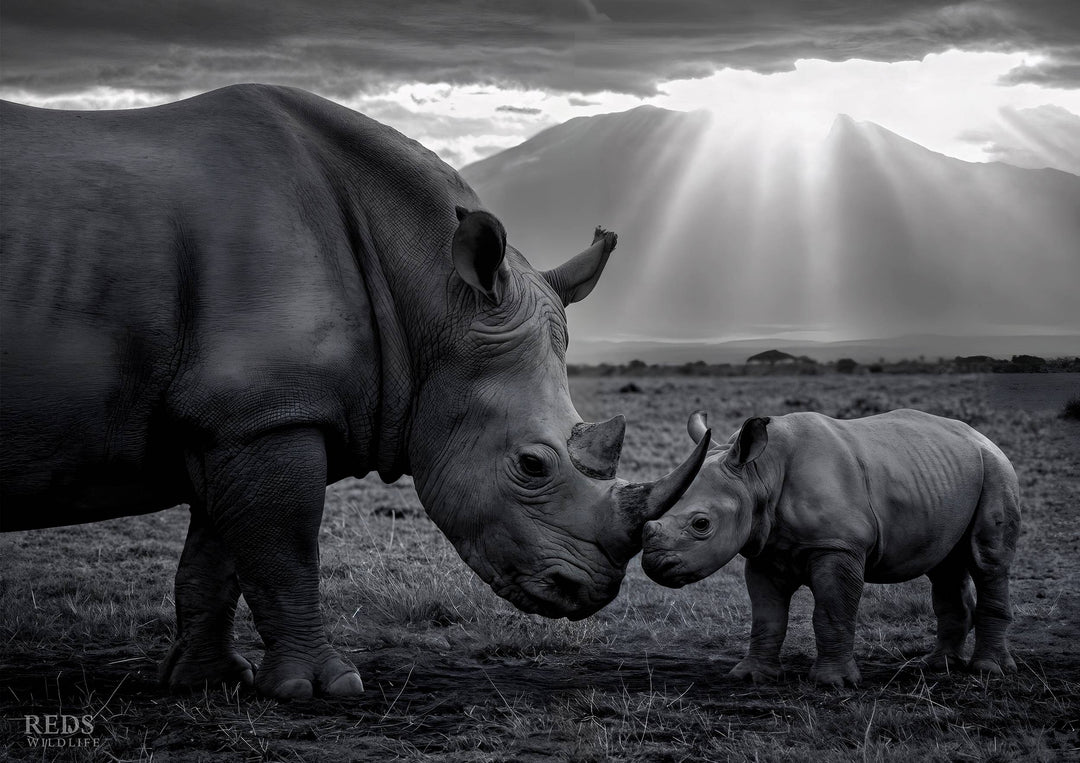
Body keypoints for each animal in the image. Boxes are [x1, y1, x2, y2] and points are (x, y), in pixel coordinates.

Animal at [0, 84, 709, 700]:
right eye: (532, 465)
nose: (591, 590)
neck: (433, 298)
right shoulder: (267, 411)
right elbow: (285, 547)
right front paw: (321, 689)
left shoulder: (234, 415)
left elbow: (218, 555)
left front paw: (205, 683)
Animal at [642, 409, 1020, 687]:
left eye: (701, 525)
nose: (653, 566)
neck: (758, 473)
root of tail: (981, 436)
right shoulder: (764, 550)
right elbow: (766, 615)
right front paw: (751, 676)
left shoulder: (838, 546)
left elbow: (832, 611)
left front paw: (833, 683)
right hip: (942, 476)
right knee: (944, 565)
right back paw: (938, 666)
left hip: (996, 469)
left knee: (988, 561)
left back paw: (989, 670)